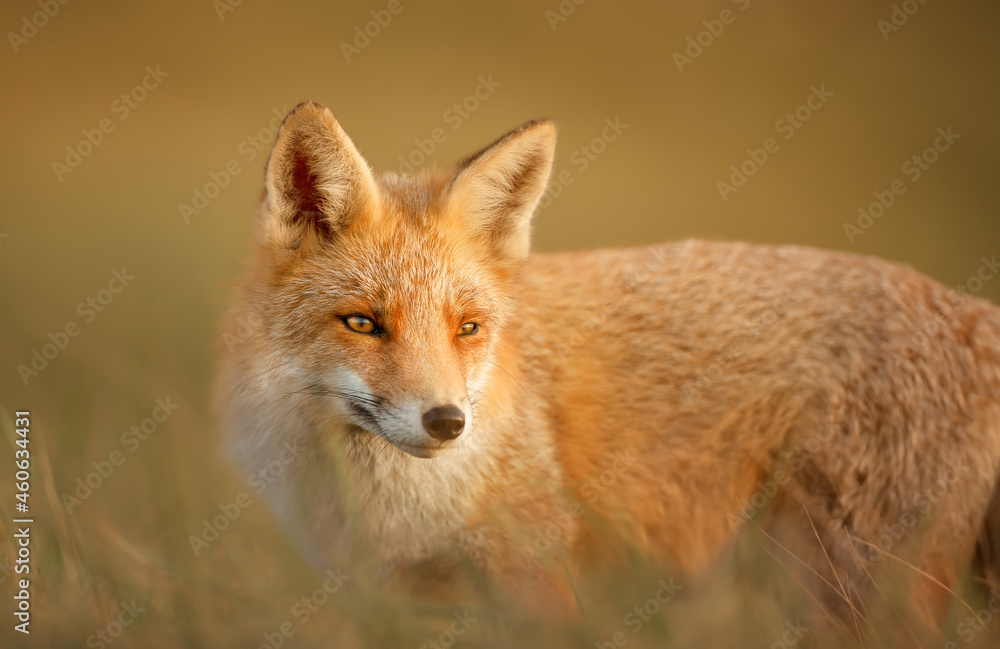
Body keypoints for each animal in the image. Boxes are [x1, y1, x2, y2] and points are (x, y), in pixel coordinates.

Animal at [215, 101, 1000, 631]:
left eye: (468, 328)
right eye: (363, 324)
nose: (446, 422)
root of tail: (969, 309)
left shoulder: (538, 580)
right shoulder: (392, 595)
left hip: (854, 589)